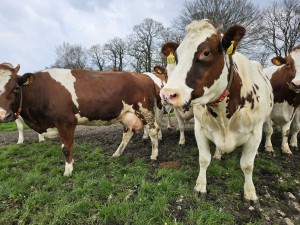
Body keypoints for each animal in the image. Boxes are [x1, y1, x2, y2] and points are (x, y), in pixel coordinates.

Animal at [0, 62, 159, 176]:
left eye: (15, 88)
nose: (3, 115)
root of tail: (144, 76)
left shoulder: (65, 122)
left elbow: (66, 148)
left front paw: (68, 171)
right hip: (126, 114)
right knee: (127, 133)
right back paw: (116, 154)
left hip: (145, 111)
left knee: (153, 130)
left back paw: (153, 155)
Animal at [161, 19, 274, 206]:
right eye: (176, 57)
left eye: (206, 52)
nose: (168, 94)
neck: (224, 115)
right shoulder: (200, 128)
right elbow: (203, 158)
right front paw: (200, 187)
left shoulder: (255, 131)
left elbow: (247, 165)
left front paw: (250, 193)